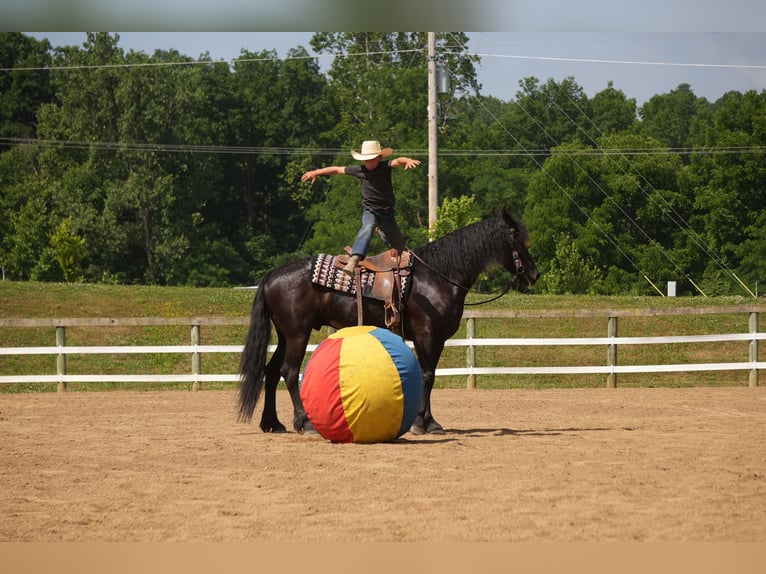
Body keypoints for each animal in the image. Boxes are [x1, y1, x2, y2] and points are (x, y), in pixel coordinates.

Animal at [237, 209, 539, 435]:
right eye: (517, 239)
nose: (534, 275)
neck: (438, 275)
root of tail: (273, 275)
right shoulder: (427, 336)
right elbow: (427, 376)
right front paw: (422, 423)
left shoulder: (437, 339)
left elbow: (429, 375)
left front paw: (428, 421)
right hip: (297, 335)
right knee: (288, 372)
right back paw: (304, 422)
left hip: (285, 335)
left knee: (270, 371)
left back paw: (272, 423)